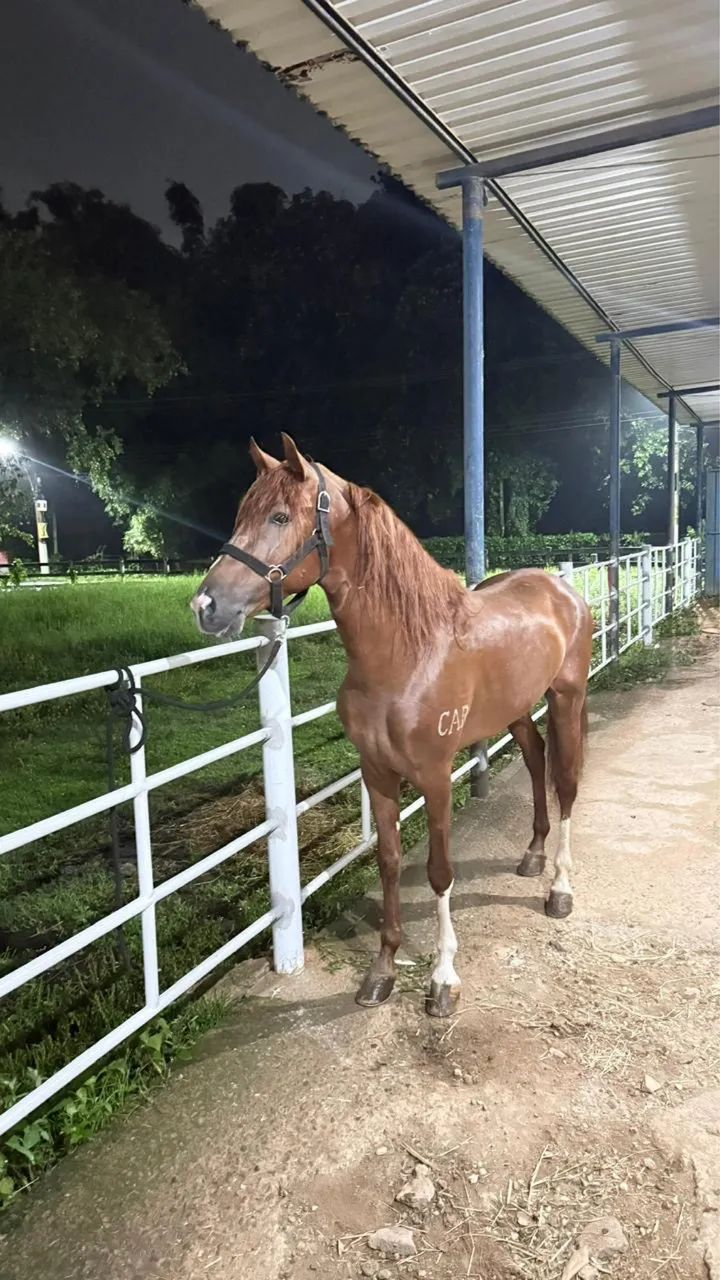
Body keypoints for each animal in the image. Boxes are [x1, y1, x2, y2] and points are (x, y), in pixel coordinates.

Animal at [191, 434, 593, 1018]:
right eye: (242, 513)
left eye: (279, 516)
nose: (206, 605)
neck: (408, 653)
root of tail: (561, 590)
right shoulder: (377, 774)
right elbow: (388, 862)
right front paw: (381, 972)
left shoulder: (435, 776)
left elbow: (439, 871)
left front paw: (443, 978)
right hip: (516, 709)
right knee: (536, 757)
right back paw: (533, 856)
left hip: (566, 698)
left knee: (565, 781)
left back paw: (559, 889)